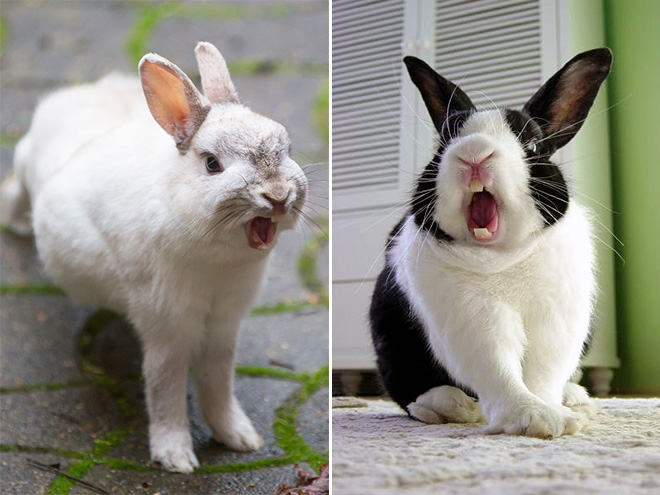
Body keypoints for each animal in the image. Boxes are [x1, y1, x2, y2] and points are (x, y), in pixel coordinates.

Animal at [0, 42, 308, 472]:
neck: (219, 260)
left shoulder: (223, 327)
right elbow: (165, 386)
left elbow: (218, 382)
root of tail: (76, 94)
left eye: (287, 149)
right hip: (26, 163)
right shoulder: (166, 328)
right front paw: (176, 458)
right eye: (212, 164)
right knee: (14, 187)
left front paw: (241, 438)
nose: (278, 196)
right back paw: (15, 224)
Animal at [372, 48, 612, 440]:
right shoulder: (473, 319)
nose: (474, 153)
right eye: (443, 145)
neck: (502, 256)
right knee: (405, 388)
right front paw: (536, 418)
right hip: (390, 337)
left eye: (532, 145)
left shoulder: (556, 321)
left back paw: (575, 398)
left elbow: (543, 375)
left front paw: (557, 415)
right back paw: (448, 405)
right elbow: (498, 369)